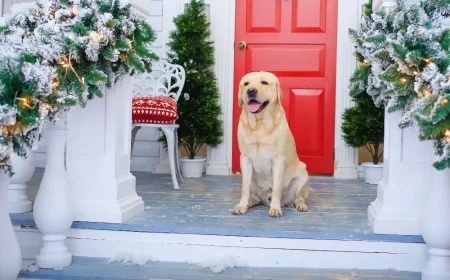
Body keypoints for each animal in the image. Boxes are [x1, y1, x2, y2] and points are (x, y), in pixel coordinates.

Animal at [232, 71, 310, 218]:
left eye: (264, 82)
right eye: (246, 84)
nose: (251, 90)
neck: (259, 125)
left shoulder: (278, 159)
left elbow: (277, 189)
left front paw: (275, 208)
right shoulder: (245, 158)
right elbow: (244, 188)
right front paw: (241, 206)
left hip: (303, 173)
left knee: (299, 198)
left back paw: (300, 205)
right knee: (255, 196)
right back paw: (249, 203)